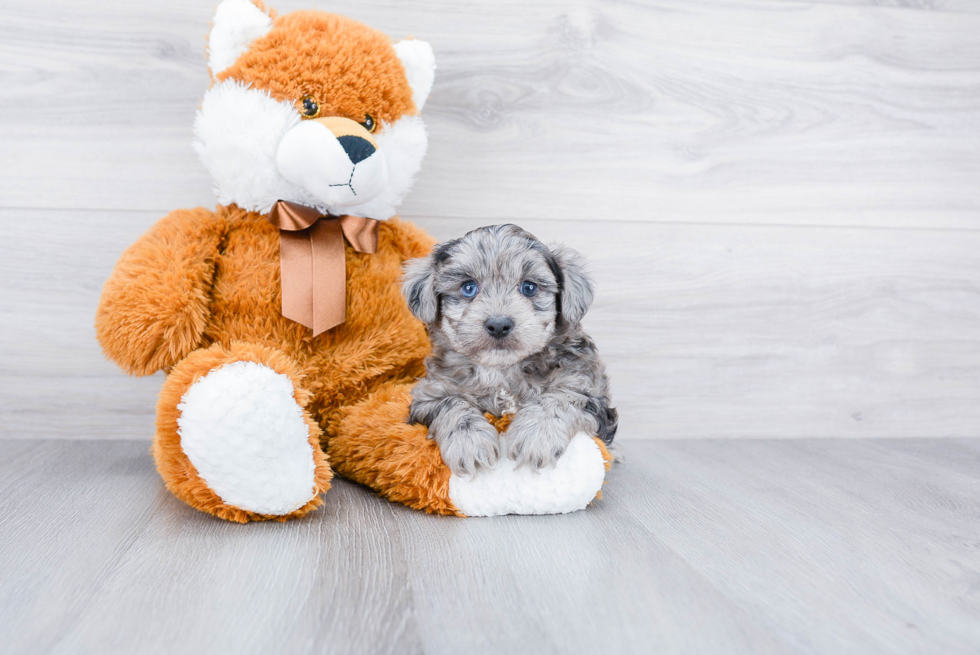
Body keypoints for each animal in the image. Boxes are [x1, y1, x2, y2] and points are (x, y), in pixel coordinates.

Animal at [402, 226, 616, 476]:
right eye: (468, 288)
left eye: (529, 287)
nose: (498, 325)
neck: (502, 370)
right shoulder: (428, 394)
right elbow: (451, 404)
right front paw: (470, 443)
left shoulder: (588, 389)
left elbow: (561, 397)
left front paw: (535, 435)